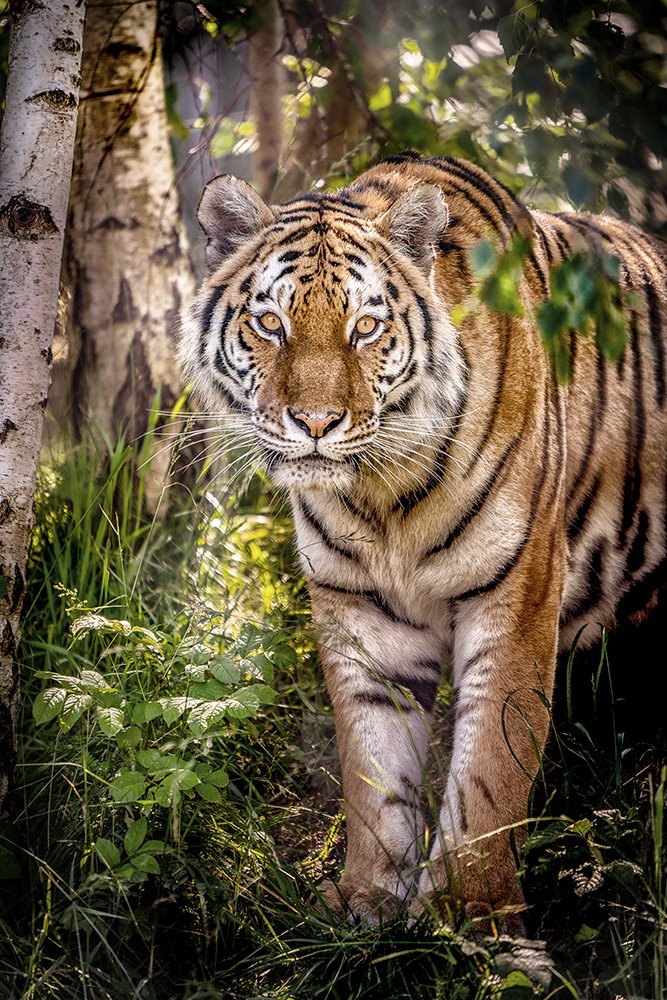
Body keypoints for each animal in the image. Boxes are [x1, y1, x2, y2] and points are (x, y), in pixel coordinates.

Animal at [178, 150, 667, 928]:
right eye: (270, 323)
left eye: (365, 328)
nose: (315, 423)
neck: (383, 495)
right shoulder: (359, 614)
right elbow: (372, 766)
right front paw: (370, 896)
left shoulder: (516, 600)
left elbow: (491, 769)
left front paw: (470, 915)